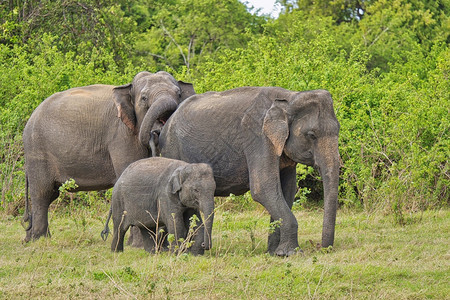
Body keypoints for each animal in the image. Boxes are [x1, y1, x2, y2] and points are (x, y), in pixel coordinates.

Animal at [22, 70, 195, 241]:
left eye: (179, 94)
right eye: (144, 98)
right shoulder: (120, 135)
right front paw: (137, 243)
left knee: (51, 194)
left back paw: (30, 238)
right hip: (37, 149)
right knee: (42, 193)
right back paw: (39, 239)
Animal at [160, 86, 340, 255]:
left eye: (338, 130)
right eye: (311, 135)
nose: (321, 247)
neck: (290, 97)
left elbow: (287, 191)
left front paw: (275, 253)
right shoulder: (258, 137)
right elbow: (263, 189)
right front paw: (291, 253)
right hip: (171, 148)